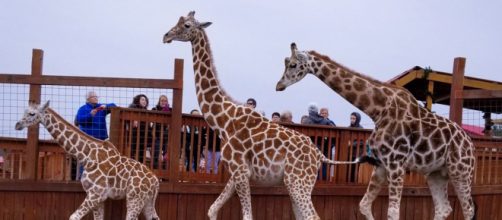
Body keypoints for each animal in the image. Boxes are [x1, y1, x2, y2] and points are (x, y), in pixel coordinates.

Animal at [15, 101, 160, 220]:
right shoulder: (98, 197)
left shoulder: (96, 194)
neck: (88, 157)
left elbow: (73, 217)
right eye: (24, 111)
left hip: (135, 198)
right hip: (146, 200)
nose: (17, 125)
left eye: (32, 113)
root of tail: (155, 181)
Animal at [163, 11, 374, 220]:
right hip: (296, 183)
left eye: (187, 25)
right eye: (178, 20)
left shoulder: (240, 170)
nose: (166, 36)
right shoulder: (236, 173)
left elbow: (247, 216)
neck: (223, 120)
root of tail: (319, 155)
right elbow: (212, 209)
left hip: (298, 182)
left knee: (313, 216)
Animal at [276, 42, 476, 219]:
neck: (378, 110)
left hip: (461, 172)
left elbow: (393, 213)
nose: (278, 86)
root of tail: (471, 145)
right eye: (285, 62)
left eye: (293, 64)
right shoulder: (380, 164)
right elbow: (364, 205)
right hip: (436, 174)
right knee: (444, 208)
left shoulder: (396, 164)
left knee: (468, 210)